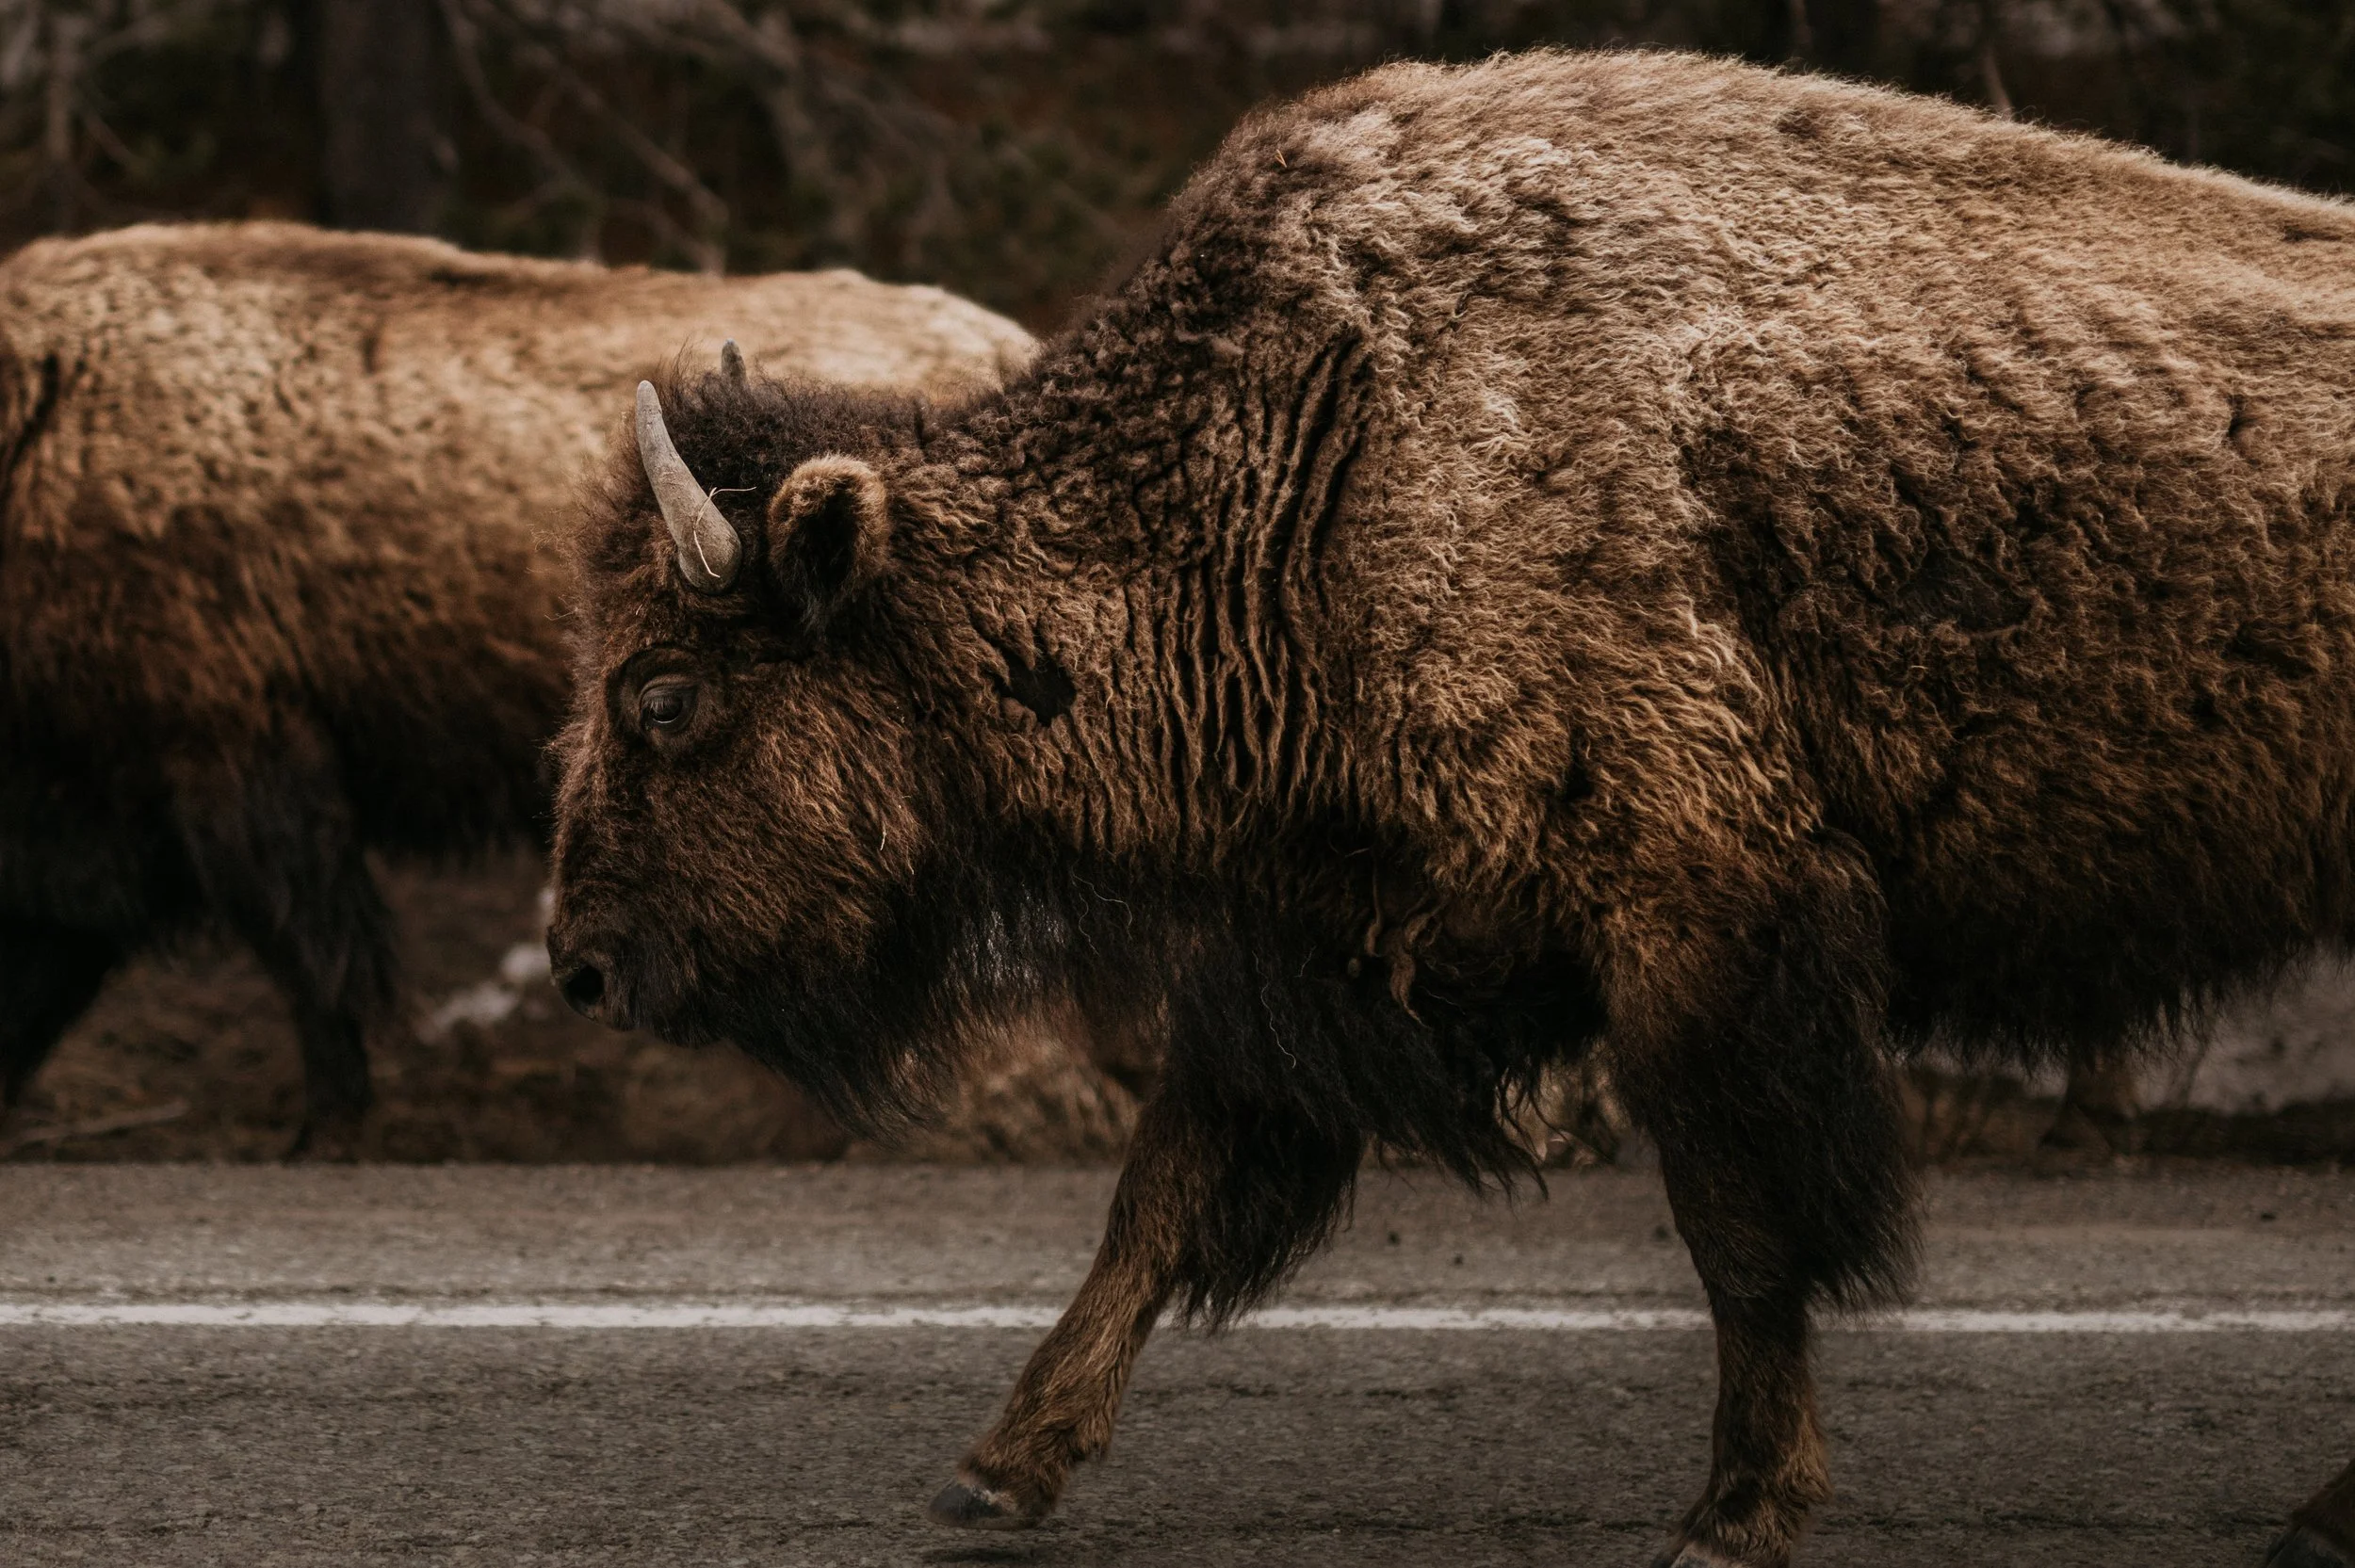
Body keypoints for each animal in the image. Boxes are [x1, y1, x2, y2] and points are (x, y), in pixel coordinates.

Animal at [546, 51, 2355, 1568]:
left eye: (665, 693)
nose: (577, 961)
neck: (1313, 454)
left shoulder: (1696, 926)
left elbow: (1741, 1228)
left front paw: (1734, 1516)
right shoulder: (1316, 948)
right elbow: (1162, 1200)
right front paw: (995, 1471)